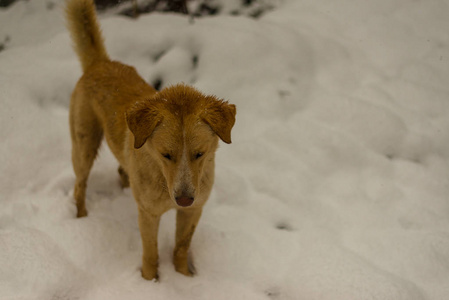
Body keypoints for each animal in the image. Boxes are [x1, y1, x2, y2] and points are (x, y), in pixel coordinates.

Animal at [66, 0, 236, 282]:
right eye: (166, 154)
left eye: (200, 153)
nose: (184, 198)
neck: (163, 180)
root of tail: (100, 63)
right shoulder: (148, 214)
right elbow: (151, 252)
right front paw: (149, 281)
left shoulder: (193, 211)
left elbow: (181, 247)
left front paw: (184, 278)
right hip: (84, 146)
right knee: (79, 187)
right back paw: (81, 220)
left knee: (120, 170)